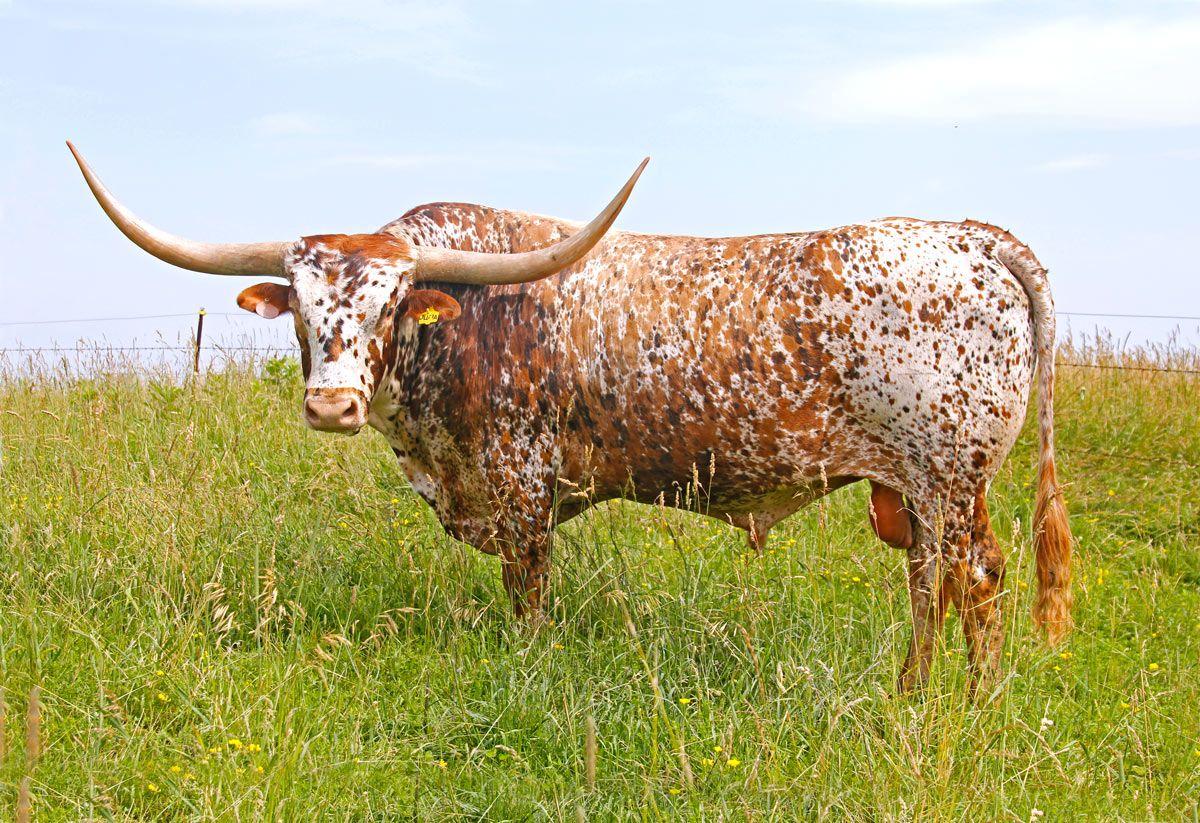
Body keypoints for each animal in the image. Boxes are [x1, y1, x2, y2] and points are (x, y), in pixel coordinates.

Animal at [69, 142, 1073, 695]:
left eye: (392, 305)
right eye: (304, 312)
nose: (332, 402)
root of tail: (967, 235)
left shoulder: (519, 487)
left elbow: (528, 596)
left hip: (951, 475)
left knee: (976, 579)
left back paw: (964, 710)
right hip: (913, 490)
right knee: (930, 583)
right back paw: (913, 692)